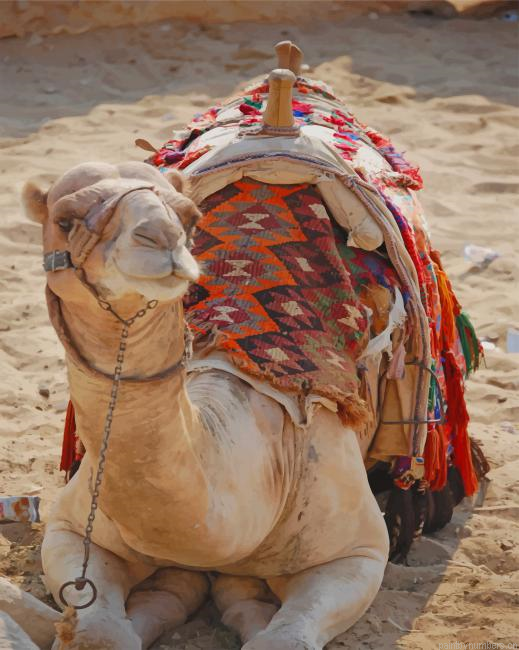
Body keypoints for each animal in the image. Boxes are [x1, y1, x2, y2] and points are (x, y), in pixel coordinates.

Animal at [2, 42, 483, 650]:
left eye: (188, 216)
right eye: (64, 219)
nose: (160, 240)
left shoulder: (354, 554)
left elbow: (282, 635)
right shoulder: (70, 530)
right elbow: (105, 631)